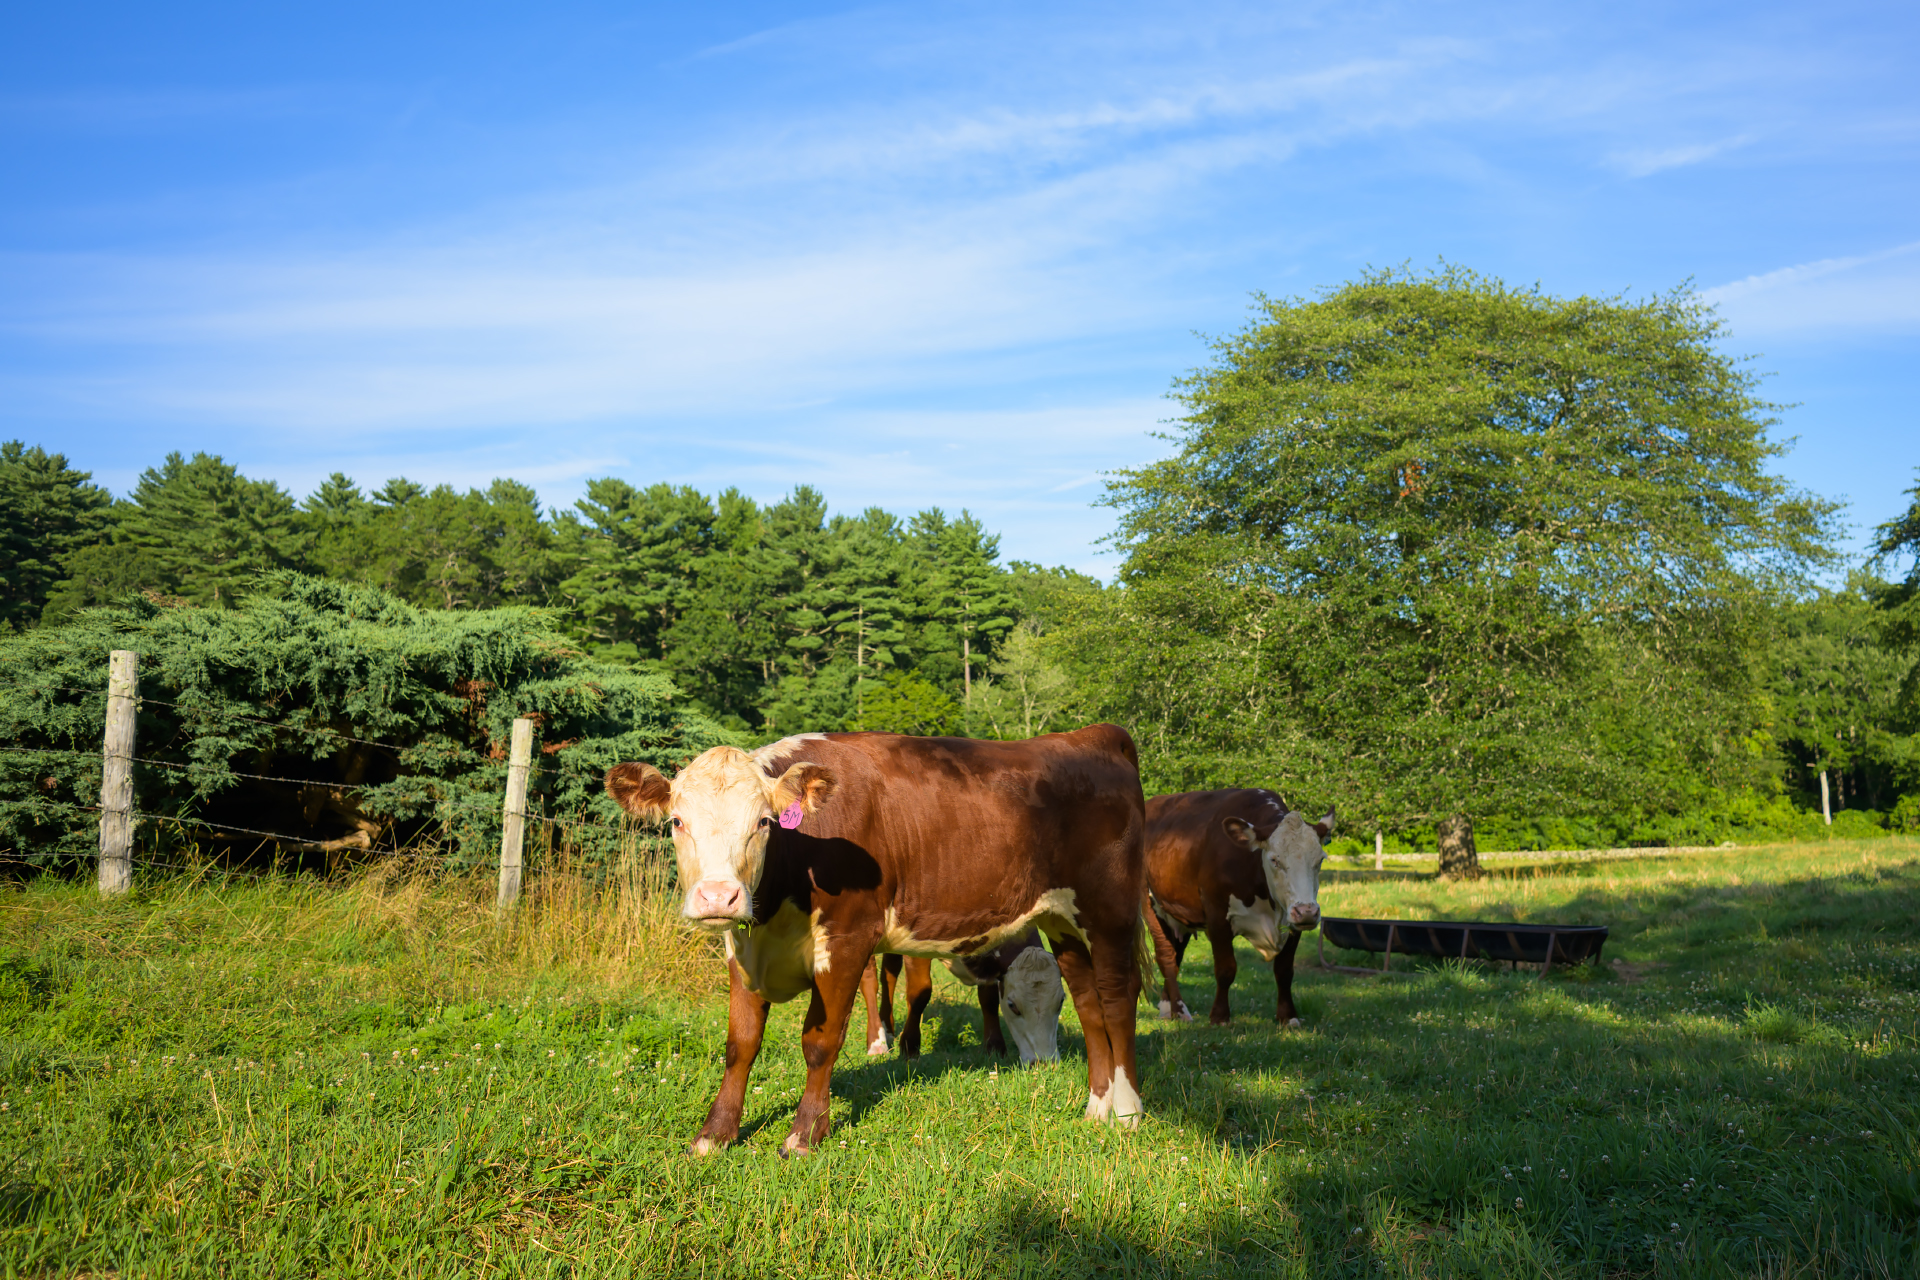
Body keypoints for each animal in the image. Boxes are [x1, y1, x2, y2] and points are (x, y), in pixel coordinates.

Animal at [863, 928, 1064, 1063]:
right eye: (1012, 1006)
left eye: (1061, 1001)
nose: (1044, 1061)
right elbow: (920, 993)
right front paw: (910, 1047)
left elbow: (989, 1000)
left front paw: (994, 1047)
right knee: (870, 978)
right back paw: (877, 1042)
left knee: (889, 972)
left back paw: (887, 1029)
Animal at [1140, 789, 1333, 1027]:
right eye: (1274, 860)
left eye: (1320, 860)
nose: (1307, 911)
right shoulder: (1217, 915)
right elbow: (1226, 969)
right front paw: (1220, 1016)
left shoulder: (1293, 921)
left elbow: (1284, 970)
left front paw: (1288, 1016)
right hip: (1150, 904)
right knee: (1166, 957)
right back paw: (1179, 1009)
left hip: (1178, 913)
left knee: (1177, 955)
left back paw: (1167, 1007)